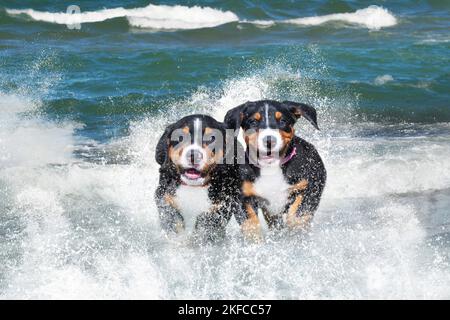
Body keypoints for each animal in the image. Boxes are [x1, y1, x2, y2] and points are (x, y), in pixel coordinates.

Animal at [155, 114, 241, 242]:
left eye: (212, 138)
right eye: (180, 137)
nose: (193, 155)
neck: (193, 187)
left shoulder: (216, 209)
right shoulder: (165, 199)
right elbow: (174, 223)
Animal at [225, 100, 326, 240]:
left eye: (282, 120)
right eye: (253, 121)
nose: (269, 140)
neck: (271, 168)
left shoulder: (310, 186)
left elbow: (298, 215)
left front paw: (296, 234)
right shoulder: (242, 197)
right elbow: (250, 224)